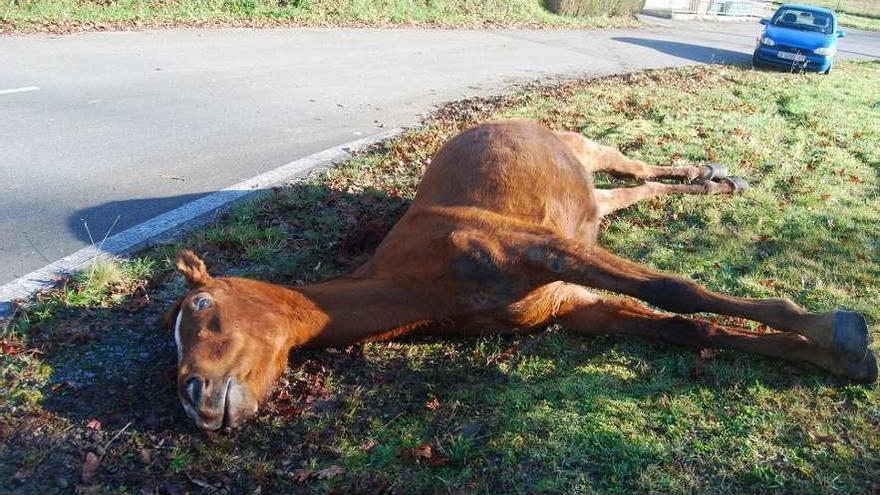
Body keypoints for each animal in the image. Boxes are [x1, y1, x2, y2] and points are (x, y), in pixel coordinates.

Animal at [168, 122, 876, 432]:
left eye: (201, 306)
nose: (195, 399)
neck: (426, 282)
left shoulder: (548, 253)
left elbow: (675, 291)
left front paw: (837, 331)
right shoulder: (571, 304)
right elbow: (689, 329)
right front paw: (834, 359)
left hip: (591, 152)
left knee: (636, 165)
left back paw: (710, 174)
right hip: (594, 204)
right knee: (632, 192)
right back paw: (710, 182)